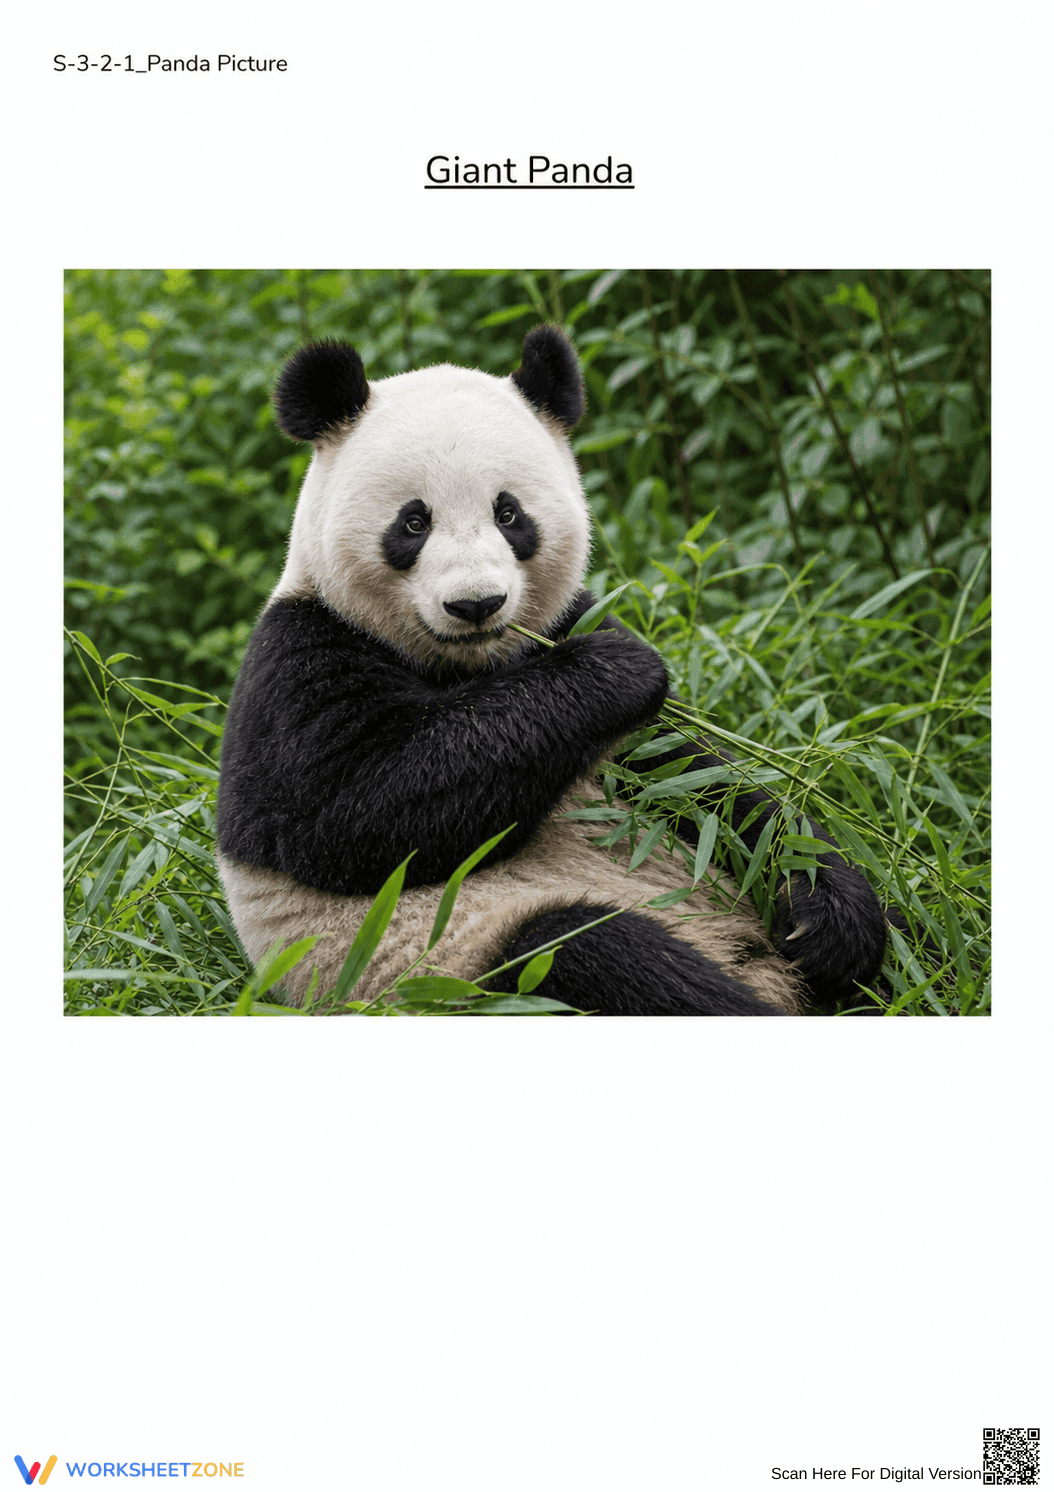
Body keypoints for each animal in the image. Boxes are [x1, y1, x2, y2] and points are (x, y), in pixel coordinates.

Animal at [216, 326, 889, 1016]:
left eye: (509, 514)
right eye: (414, 521)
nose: (476, 604)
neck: (471, 664)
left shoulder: (575, 620)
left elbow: (709, 782)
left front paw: (831, 915)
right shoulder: (301, 656)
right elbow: (354, 812)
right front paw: (618, 673)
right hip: (458, 961)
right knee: (604, 959)